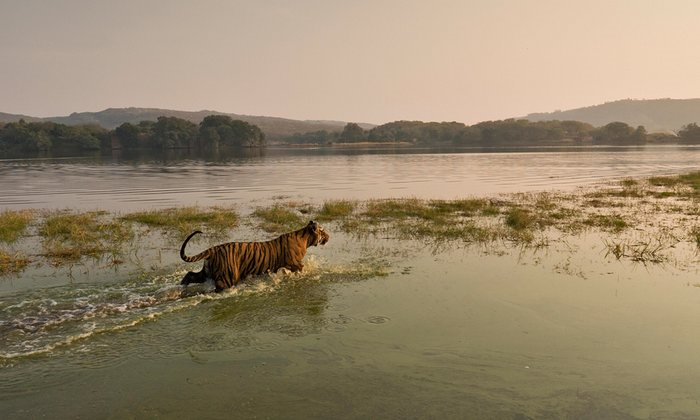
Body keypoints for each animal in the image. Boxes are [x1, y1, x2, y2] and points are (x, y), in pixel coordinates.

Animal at [179, 220, 330, 292]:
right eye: (323, 231)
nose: (329, 236)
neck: (305, 238)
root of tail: (213, 249)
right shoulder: (295, 264)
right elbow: (303, 270)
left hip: (207, 272)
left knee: (190, 275)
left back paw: (181, 288)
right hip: (227, 278)